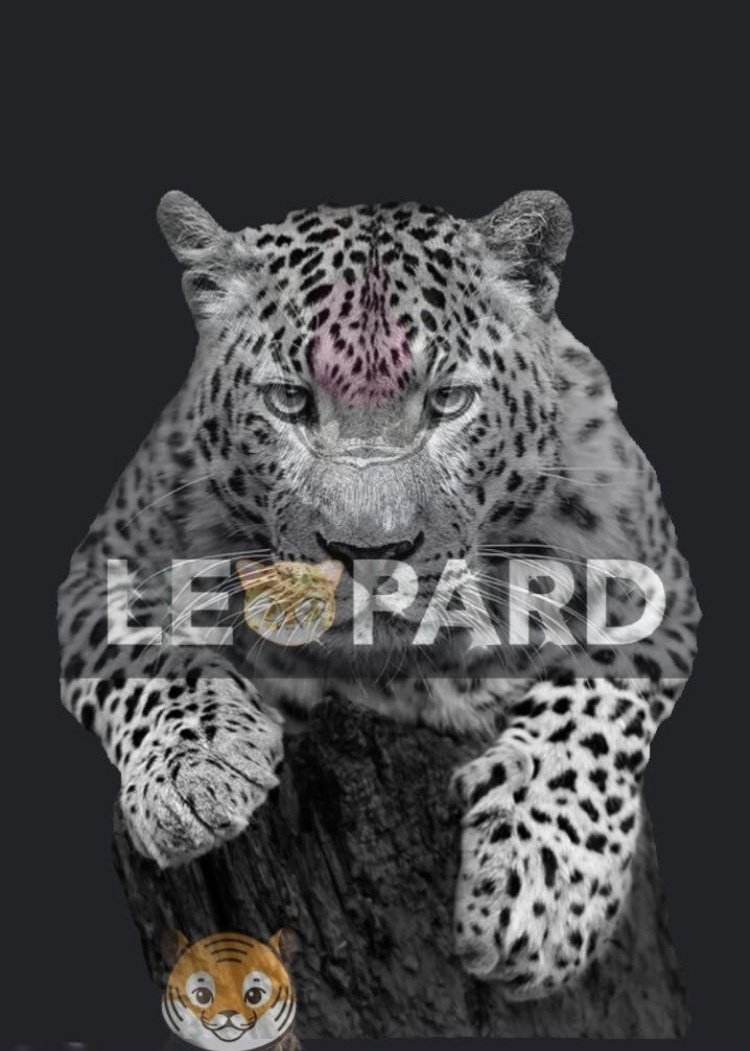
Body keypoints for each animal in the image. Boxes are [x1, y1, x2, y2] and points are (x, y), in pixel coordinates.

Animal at [57, 189, 700, 1002]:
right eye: (290, 400)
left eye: (449, 400)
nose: (367, 555)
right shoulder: (99, 568)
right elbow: (147, 655)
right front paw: (195, 770)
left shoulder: (660, 581)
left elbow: (597, 696)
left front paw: (542, 886)